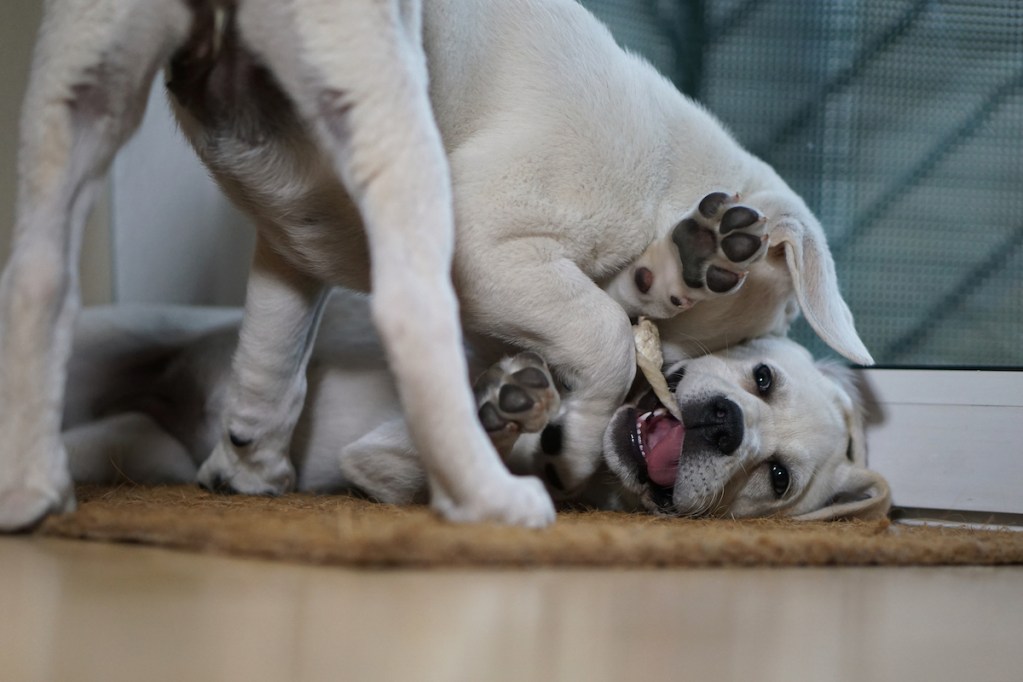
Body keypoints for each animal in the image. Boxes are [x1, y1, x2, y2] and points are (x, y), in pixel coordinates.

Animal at [0, 0, 871, 531]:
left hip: (83, 83)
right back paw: (493, 496)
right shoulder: (485, 242)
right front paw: (576, 428)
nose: (720, 424)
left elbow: (271, 362)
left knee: (39, 277)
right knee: (412, 315)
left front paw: (249, 462)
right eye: (758, 368)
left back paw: (32, 489)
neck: (661, 174)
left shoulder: (291, 246)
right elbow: (602, 332)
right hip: (386, 101)